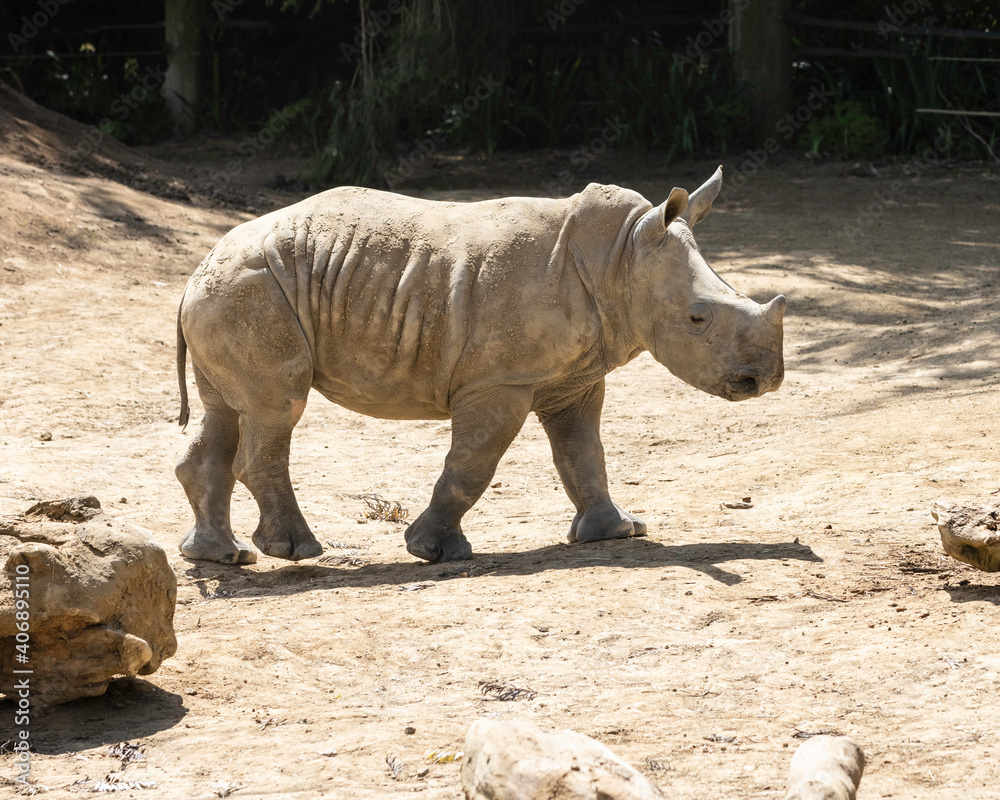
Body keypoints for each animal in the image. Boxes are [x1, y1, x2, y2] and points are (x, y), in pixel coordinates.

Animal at [175, 167, 784, 565]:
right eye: (697, 319)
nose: (764, 380)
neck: (621, 259)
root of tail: (195, 272)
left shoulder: (574, 378)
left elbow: (584, 453)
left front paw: (615, 534)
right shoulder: (500, 380)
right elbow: (475, 462)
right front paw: (434, 552)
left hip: (229, 292)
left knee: (227, 412)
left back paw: (220, 556)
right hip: (249, 292)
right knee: (278, 408)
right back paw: (296, 551)